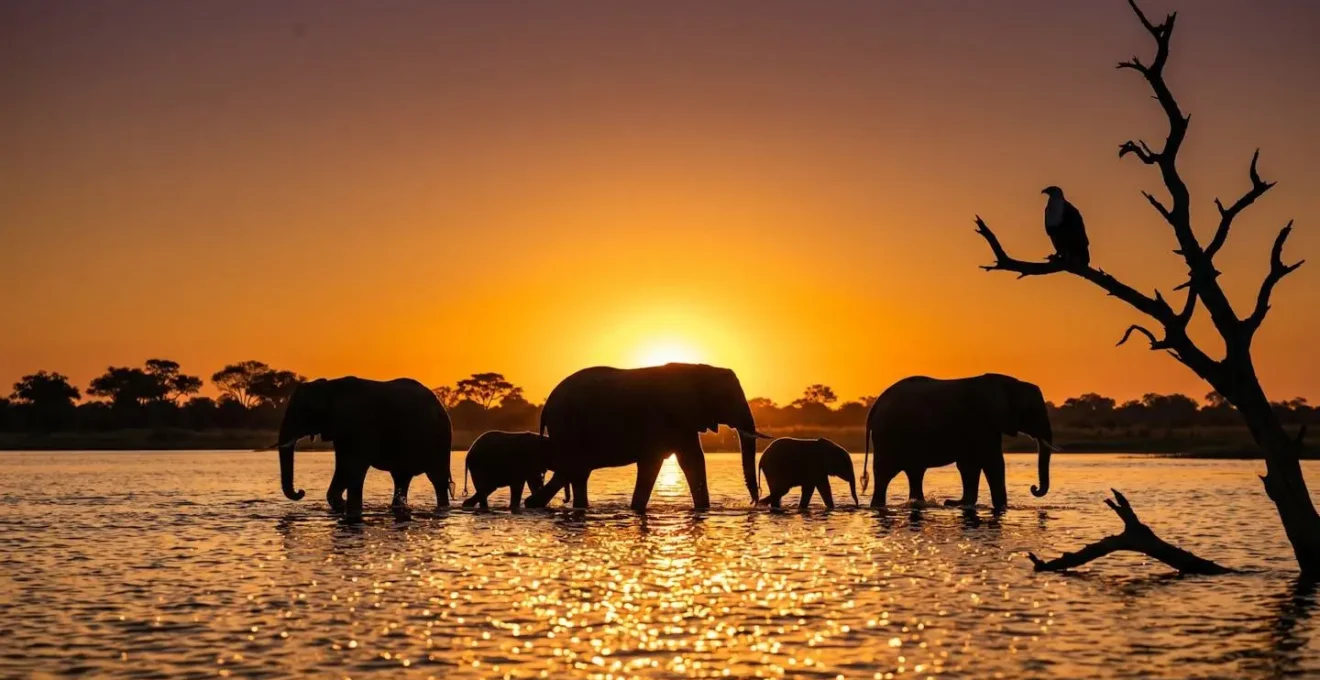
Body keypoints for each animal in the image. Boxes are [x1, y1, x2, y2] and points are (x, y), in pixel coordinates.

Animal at [276, 377, 453, 521]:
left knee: (437, 479)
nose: (301, 491)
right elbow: (343, 467)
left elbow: (354, 466)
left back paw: (442, 508)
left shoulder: (358, 425)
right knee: (401, 478)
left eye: (302, 411)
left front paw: (350, 508)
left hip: (440, 439)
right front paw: (343, 505)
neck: (330, 387)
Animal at [522, 362, 769, 511]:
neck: (696, 369)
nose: (753, 502)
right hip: (567, 428)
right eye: (728, 398)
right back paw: (533, 504)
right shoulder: (662, 418)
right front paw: (636, 510)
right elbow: (653, 462)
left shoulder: (682, 420)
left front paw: (703, 510)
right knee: (573, 467)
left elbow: (692, 459)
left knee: (577, 471)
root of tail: (546, 407)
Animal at [863, 373, 1057, 511]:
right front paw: (1001, 508)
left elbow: (969, 465)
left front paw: (957, 503)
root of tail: (874, 408)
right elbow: (992, 462)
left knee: (915, 472)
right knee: (885, 473)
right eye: (1033, 411)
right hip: (889, 437)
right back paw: (879, 507)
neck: (1012, 383)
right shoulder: (983, 422)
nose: (1033, 488)